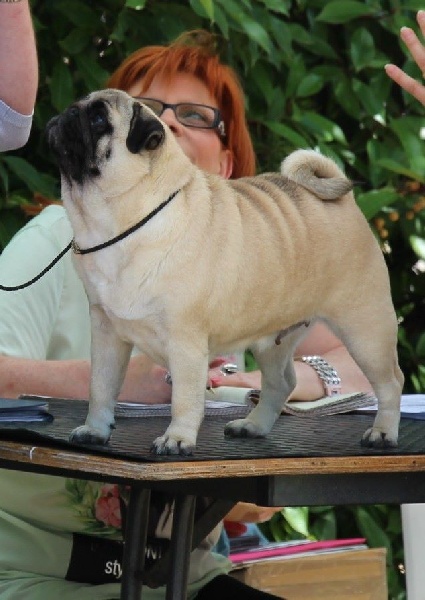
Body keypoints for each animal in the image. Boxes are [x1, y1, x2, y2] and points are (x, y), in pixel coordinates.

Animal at [44, 89, 402, 454]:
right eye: (80, 107)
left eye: (99, 119)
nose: (67, 113)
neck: (119, 223)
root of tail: (346, 204)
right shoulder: (107, 334)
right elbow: (100, 388)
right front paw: (95, 430)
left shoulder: (185, 341)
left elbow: (184, 398)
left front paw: (177, 439)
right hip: (273, 341)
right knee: (281, 383)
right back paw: (253, 426)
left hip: (364, 329)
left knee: (390, 382)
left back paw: (383, 433)